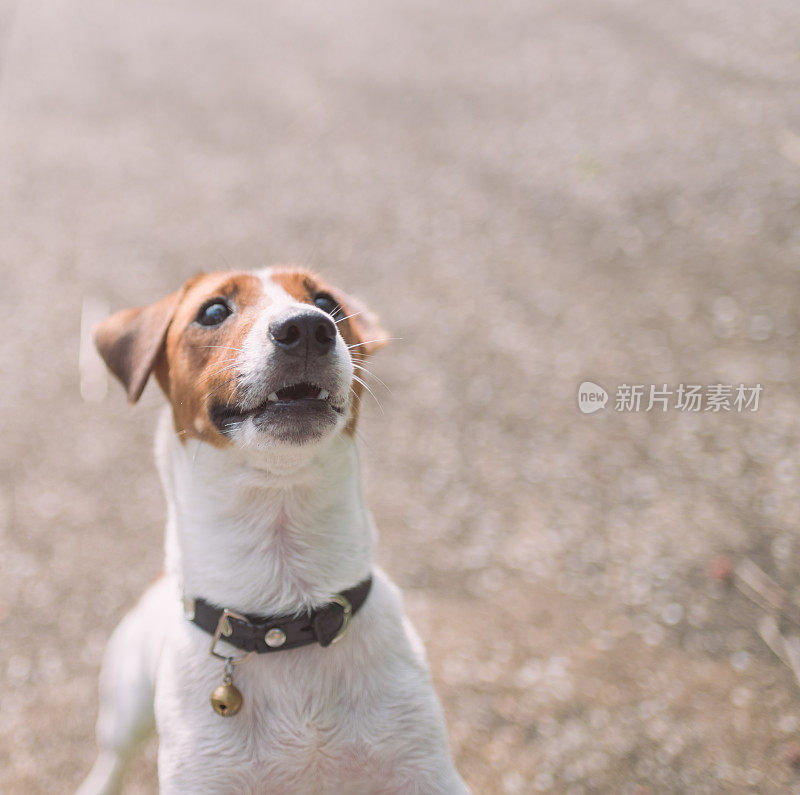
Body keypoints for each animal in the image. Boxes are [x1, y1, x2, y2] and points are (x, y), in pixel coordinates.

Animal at [79, 268, 468, 795]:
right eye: (213, 310)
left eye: (327, 302)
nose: (307, 327)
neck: (285, 613)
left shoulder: (425, 769)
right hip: (128, 698)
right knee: (112, 756)